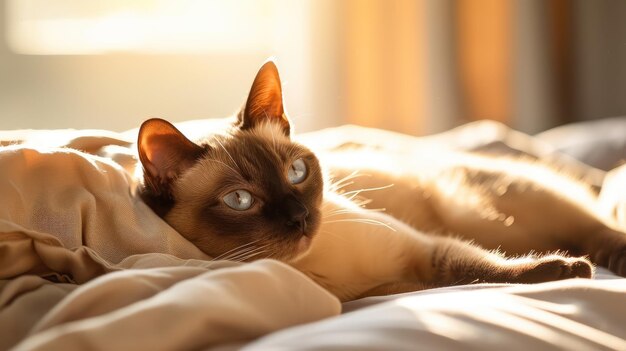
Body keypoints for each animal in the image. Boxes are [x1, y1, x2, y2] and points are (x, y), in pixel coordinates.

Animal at [136, 60, 624, 302]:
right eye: (240, 200)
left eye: (297, 173)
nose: (300, 218)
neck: (323, 264)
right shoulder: (392, 287)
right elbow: (476, 275)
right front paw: (565, 271)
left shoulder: (424, 250)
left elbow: (485, 267)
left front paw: (569, 272)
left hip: (480, 208)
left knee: (596, 224)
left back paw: (606, 258)